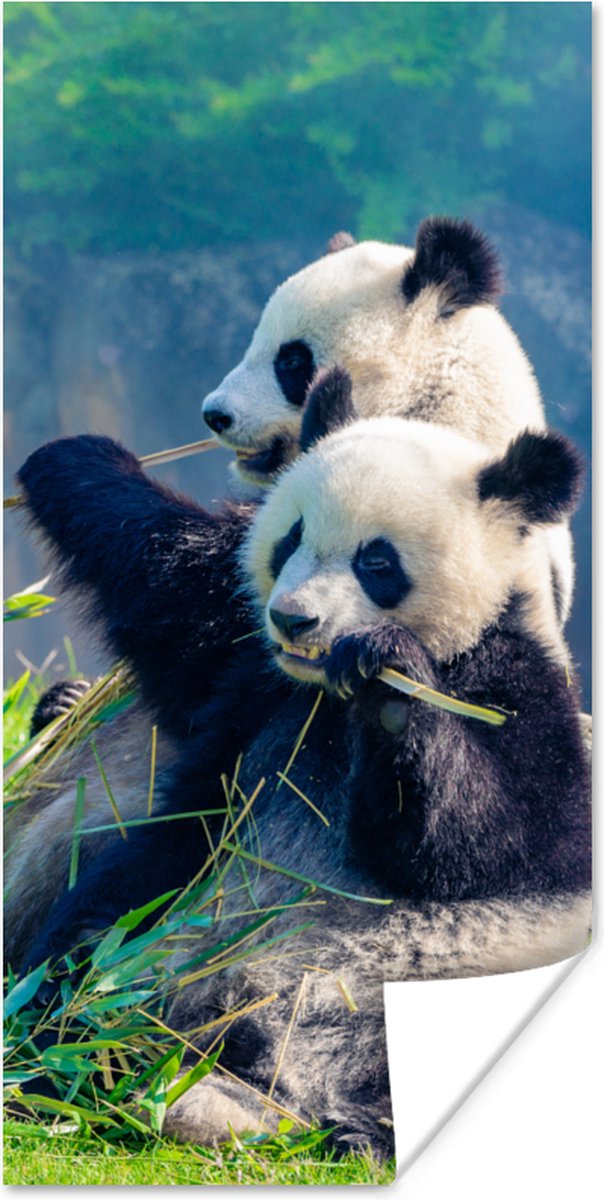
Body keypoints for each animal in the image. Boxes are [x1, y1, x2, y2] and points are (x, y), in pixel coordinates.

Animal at [10, 370, 591, 1152]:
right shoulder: (254, 692)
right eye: (290, 538)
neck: (326, 698)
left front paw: (389, 681)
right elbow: (177, 607)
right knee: (97, 943)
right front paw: (74, 459)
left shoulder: (515, 685)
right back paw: (79, 1059)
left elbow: (486, 847)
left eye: (377, 561)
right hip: (160, 933)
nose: (293, 619)